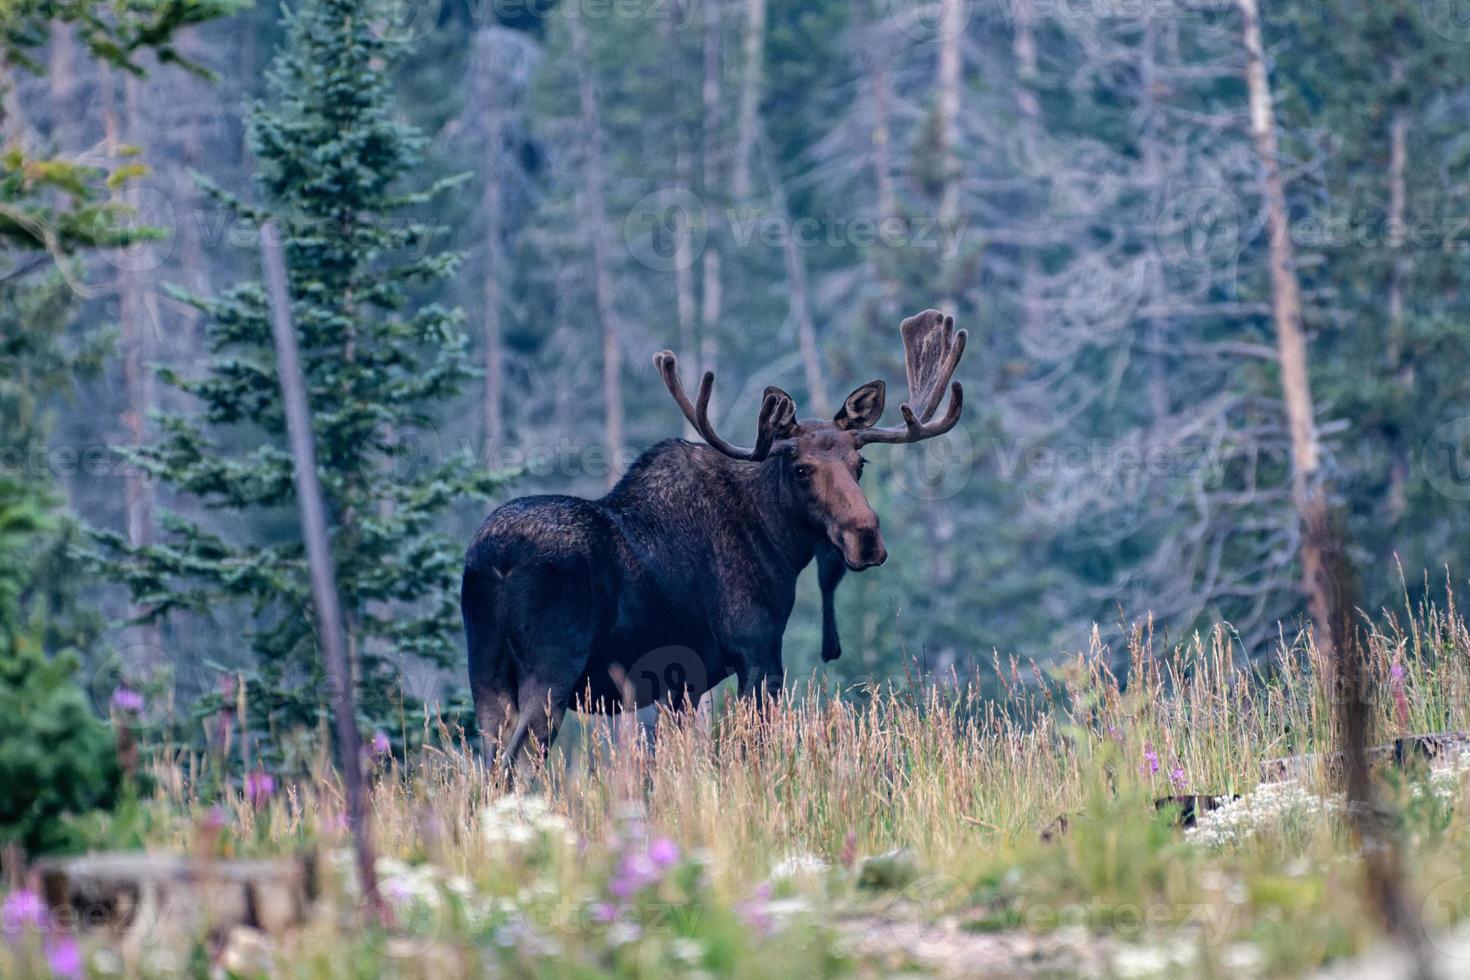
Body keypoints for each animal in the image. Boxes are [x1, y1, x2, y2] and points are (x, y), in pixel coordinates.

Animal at [458, 307, 964, 764]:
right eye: (801, 469)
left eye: (860, 464)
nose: (866, 539)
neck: (778, 546)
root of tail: (494, 559)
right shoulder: (759, 652)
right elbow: (751, 751)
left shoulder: (681, 684)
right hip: (551, 672)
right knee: (515, 763)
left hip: (485, 674)